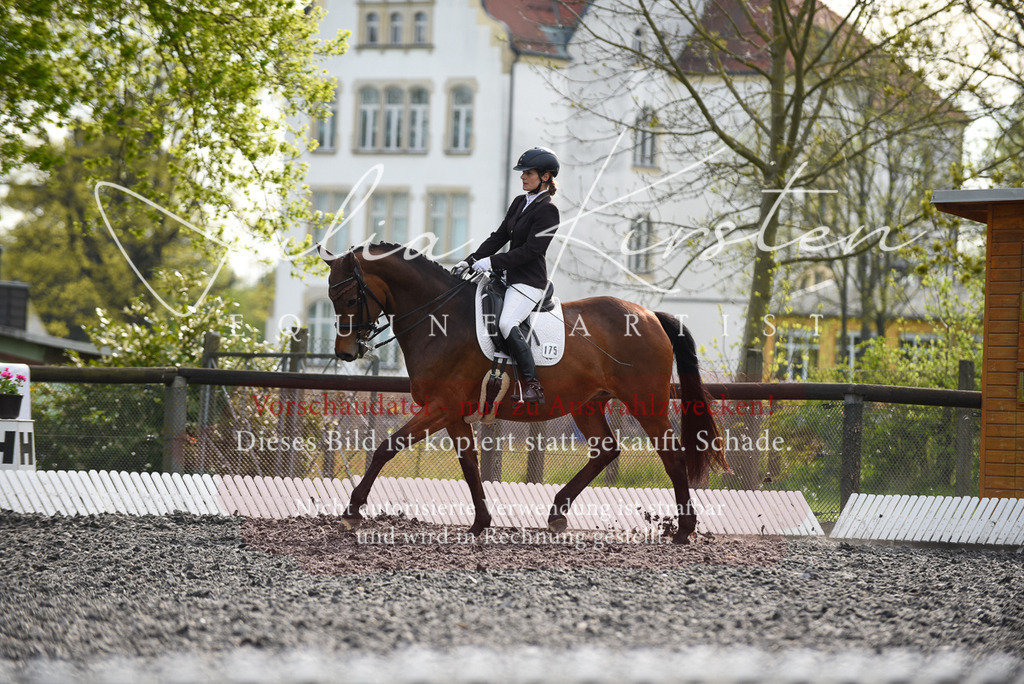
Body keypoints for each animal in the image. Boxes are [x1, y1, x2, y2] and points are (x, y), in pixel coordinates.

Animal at [322, 242, 727, 543]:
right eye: (332, 300)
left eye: (350, 299)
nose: (346, 353)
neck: (440, 319)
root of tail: (650, 314)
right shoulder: (454, 413)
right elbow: (470, 465)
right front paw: (480, 523)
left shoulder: (441, 406)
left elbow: (386, 447)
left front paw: (352, 511)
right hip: (586, 404)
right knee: (606, 450)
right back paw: (557, 513)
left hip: (647, 403)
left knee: (671, 457)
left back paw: (684, 530)